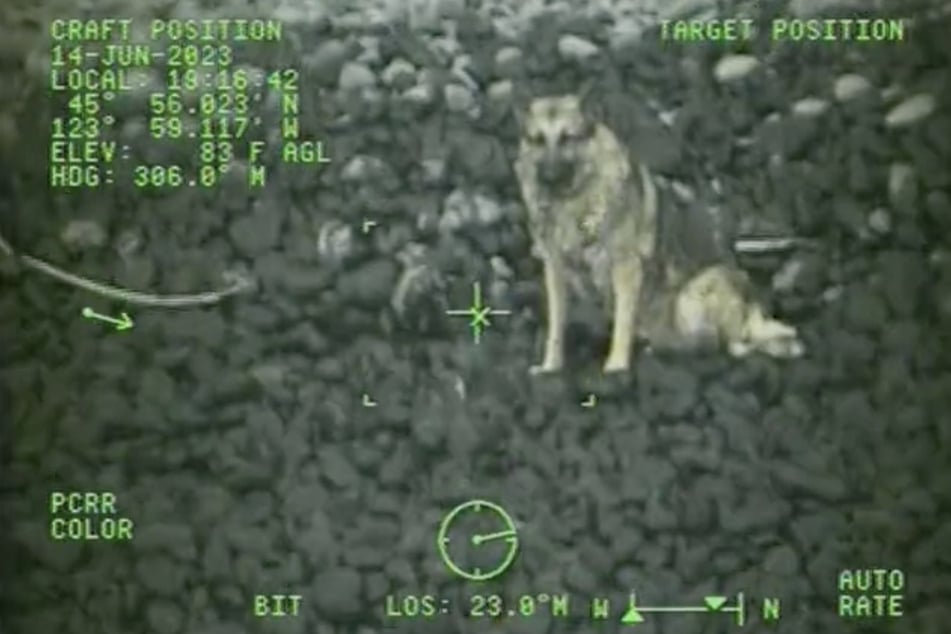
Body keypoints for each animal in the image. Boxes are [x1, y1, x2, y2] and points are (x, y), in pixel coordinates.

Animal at [512, 92, 804, 370]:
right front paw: (551, 366)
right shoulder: (555, 270)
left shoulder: (626, 268)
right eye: (537, 140)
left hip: (690, 297)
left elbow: (622, 324)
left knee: (731, 344)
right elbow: (556, 325)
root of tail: (750, 304)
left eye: (567, 138)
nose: (547, 178)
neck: (572, 200)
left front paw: (616, 366)